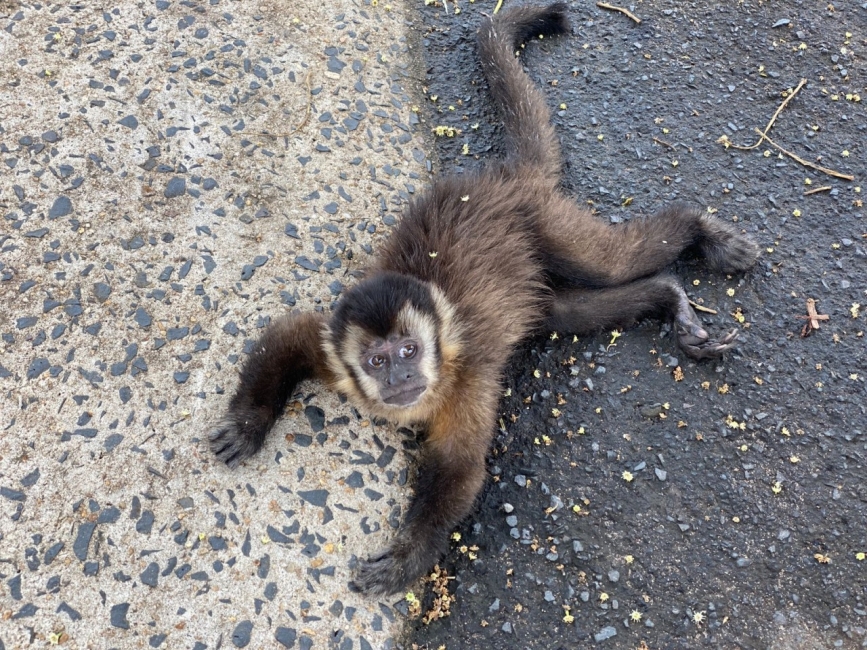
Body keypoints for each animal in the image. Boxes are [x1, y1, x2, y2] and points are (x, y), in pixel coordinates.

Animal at [210, 2, 760, 596]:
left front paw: (408, 555)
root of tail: (504, 178)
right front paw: (248, 424)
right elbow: (286, 333)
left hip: (545, 217)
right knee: (566, 312)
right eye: (377, 361)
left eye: (409, 351)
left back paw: (701, 232)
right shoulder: (335, 350)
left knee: (608, 261)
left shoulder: (466, 375)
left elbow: (459, 466)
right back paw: (667, 297)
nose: (401, 378)